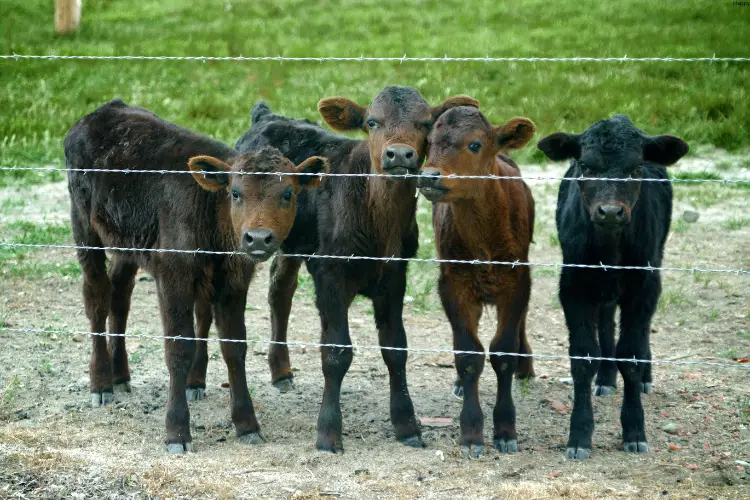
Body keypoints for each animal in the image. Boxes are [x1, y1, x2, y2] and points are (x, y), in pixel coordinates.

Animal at [63, 98, 324, 454]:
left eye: (288, 193)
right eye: (235, 193)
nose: (257, 238)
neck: (210, 214)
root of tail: (104, 110)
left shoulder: (233, 281)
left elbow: (234, 346)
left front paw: (247, 424)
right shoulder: (173, 277)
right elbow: (179, 348)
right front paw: (176, 432)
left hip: (127, 242)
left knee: (120, 293)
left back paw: (120, 375)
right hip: (85, 229)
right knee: (97, 296)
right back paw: (102, 382)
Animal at [420, 105, 536, 458]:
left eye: (474, 144)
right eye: (428, 143)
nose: (428, 176)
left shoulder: (516, 282)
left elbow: (503, 352)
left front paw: (506, 429)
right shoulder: (453, 285)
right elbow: (469, 355)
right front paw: (471, 432)